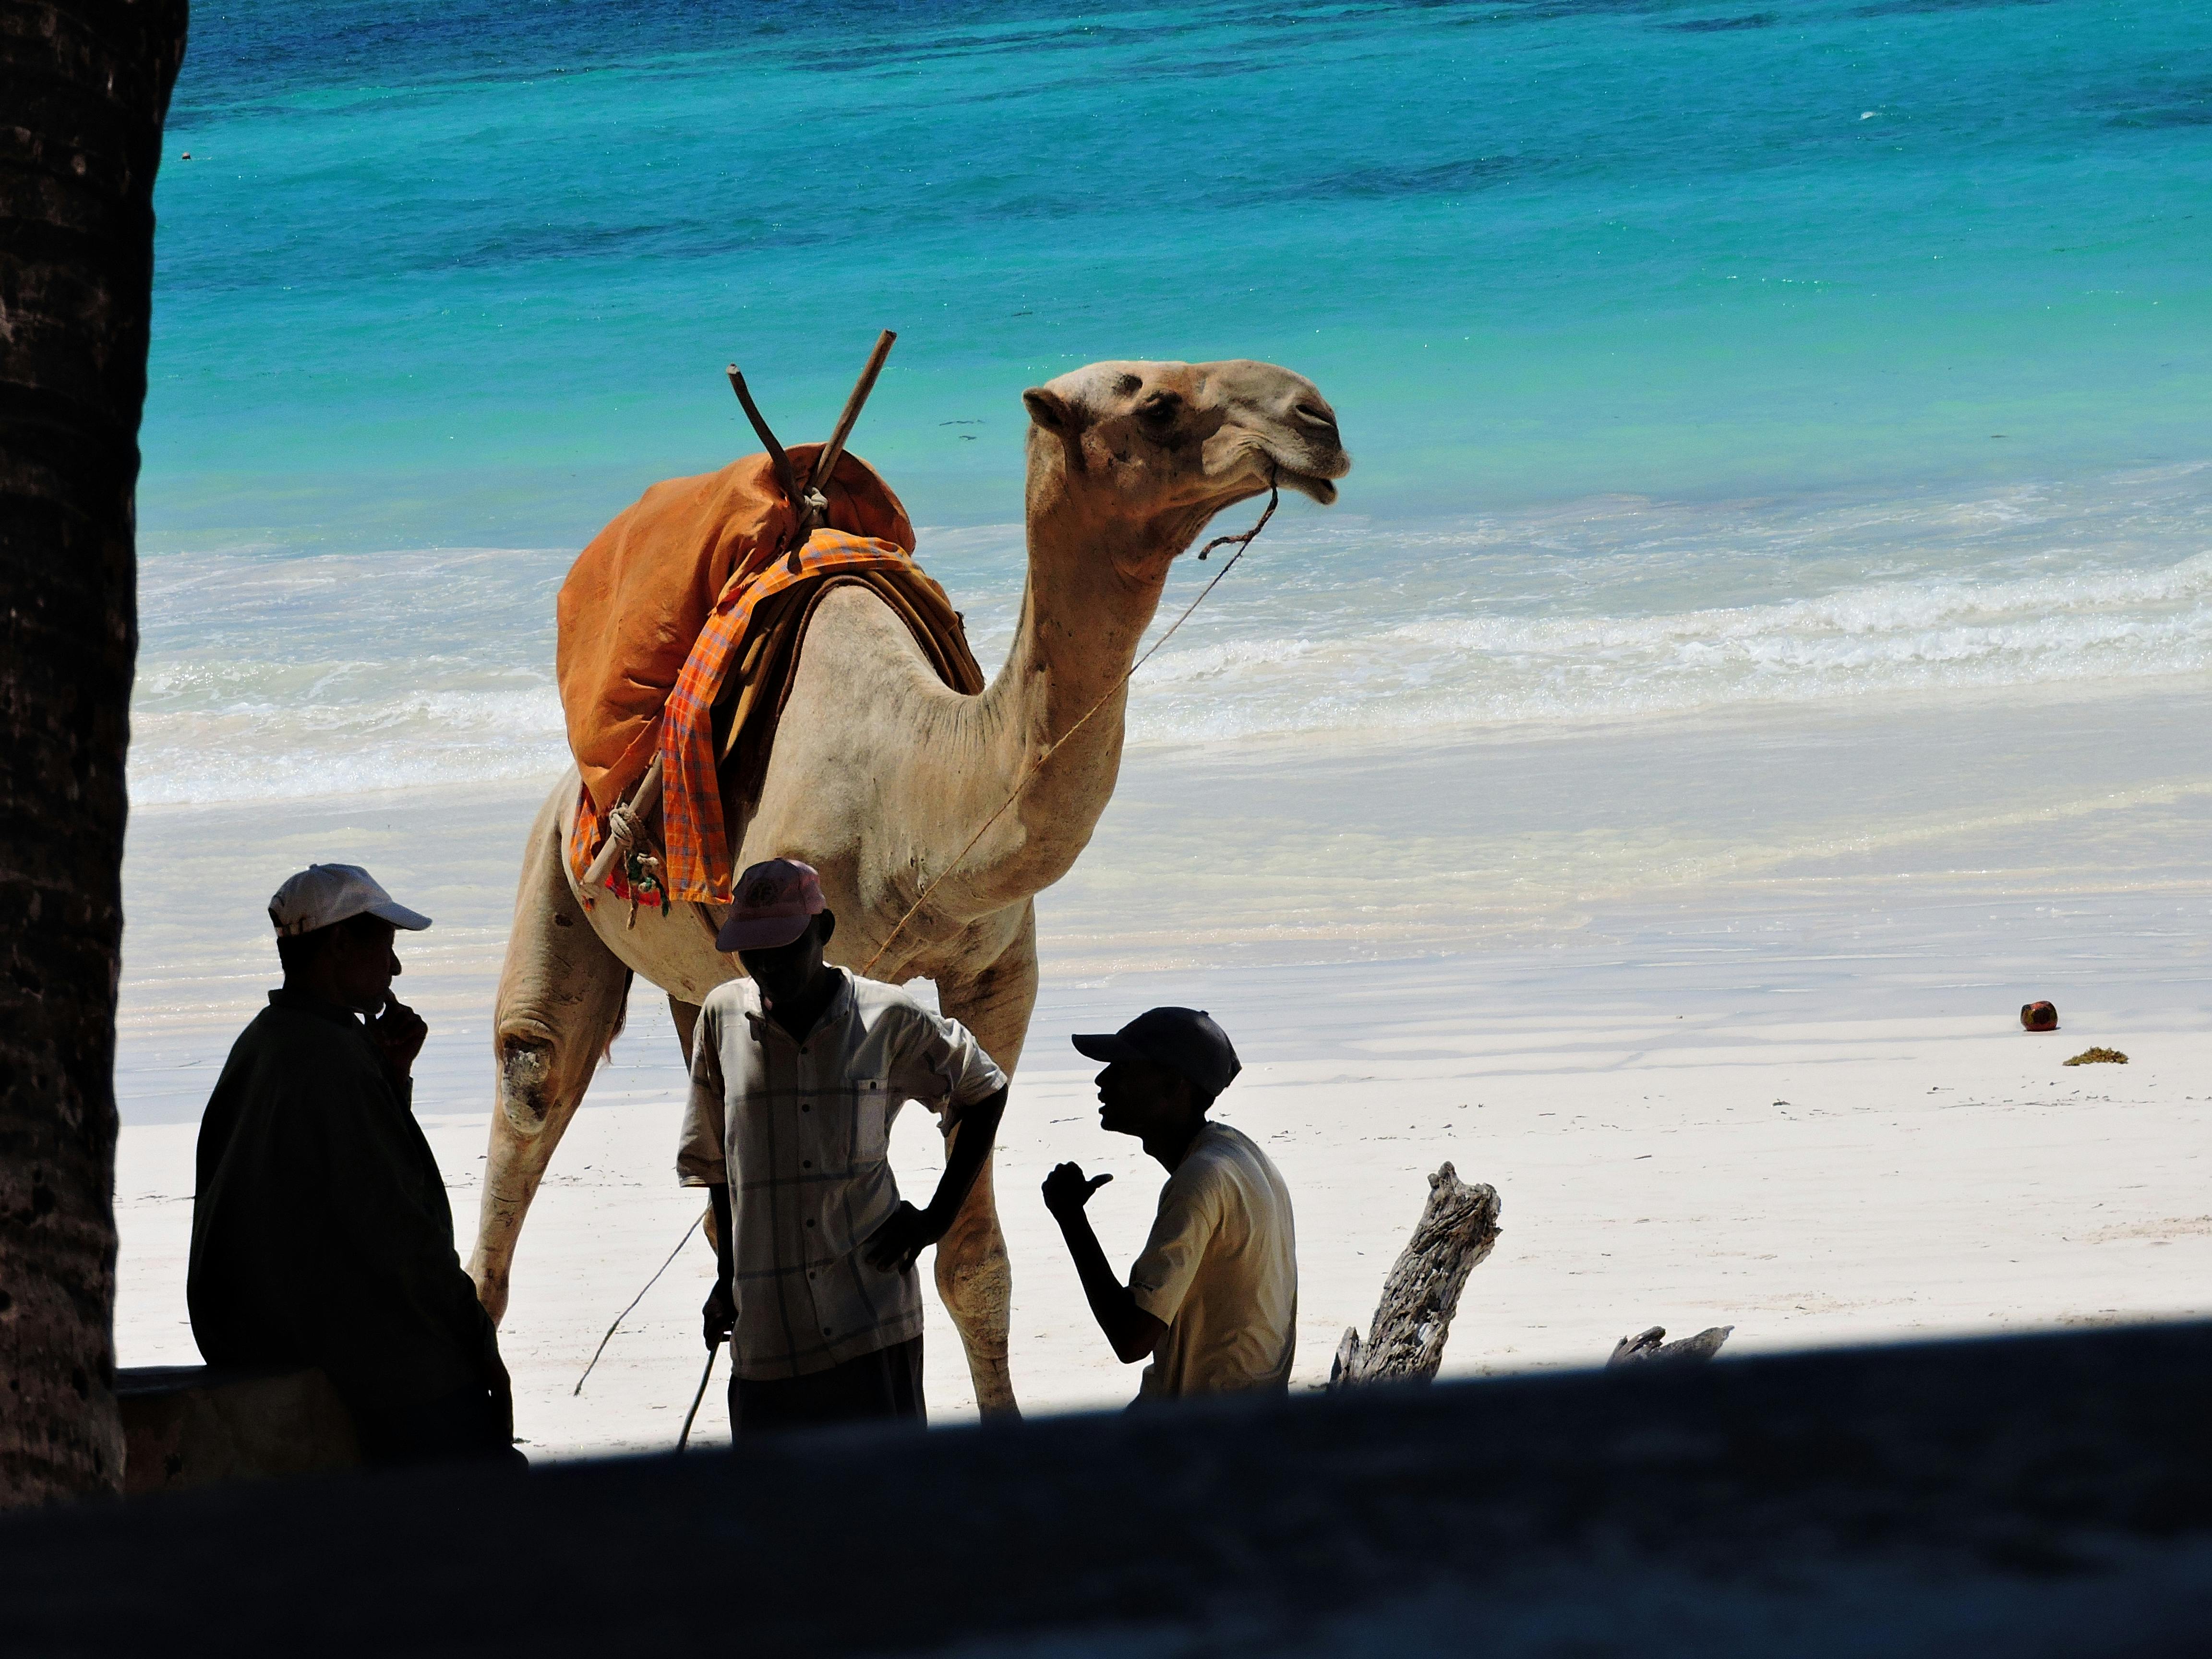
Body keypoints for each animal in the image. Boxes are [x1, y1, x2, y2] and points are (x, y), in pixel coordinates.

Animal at [471, 361, 1345, 1416]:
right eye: (1156, 404)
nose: (1317, 420)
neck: (914, 798)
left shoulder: (998, 974)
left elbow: (972, 1260)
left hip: (688, 979)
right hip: (559, 867)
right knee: (532, 1080)